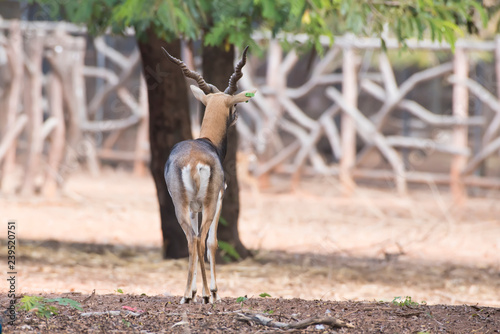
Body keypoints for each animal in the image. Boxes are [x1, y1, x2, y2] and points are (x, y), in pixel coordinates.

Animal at [162, 47, 256, 306]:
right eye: (233, 106)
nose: (237, 116)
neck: (207, 141)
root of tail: (194, 162)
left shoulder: (195, 207)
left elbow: (195, 241)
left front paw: (194, 292)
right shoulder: (219, 199)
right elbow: (213, 243)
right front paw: (213, 292)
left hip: (181, 205)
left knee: (191, 239)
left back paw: (186, 295)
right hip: (210, 203)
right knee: (202, 238)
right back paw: (206, 295)